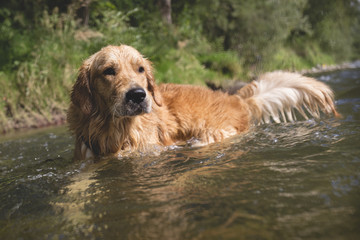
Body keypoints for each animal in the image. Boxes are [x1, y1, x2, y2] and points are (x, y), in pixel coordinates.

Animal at [67, 46, 340, 160]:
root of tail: (235, 98)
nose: (138, 95)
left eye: (140, 69)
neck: (115, 129)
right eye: (109, 71)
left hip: (213, 133)